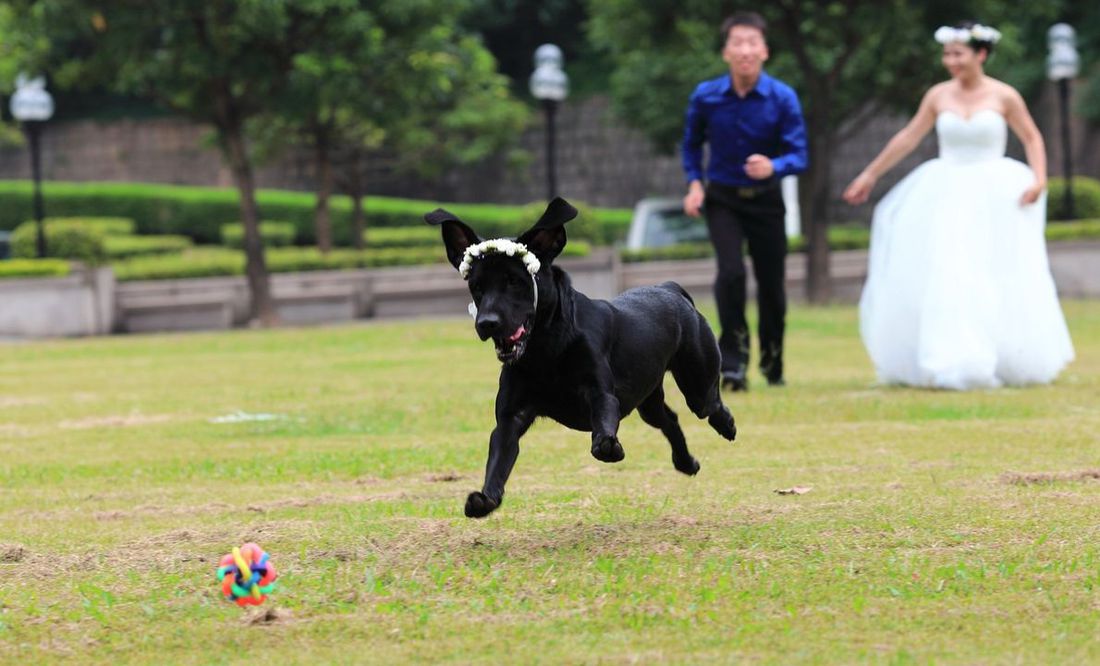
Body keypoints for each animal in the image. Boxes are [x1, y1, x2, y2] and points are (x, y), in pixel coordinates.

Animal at [424, 194, 734, 517]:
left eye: (514, 281)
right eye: (476, 286)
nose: (487, 323)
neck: (546, 351)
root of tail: (669, 287)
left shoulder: (600, 393)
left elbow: (603, 423)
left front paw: (608, 446)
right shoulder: (511, 417)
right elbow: (498, 459)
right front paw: (485, 499)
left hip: (697, 379)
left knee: (709, 404)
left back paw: (726, 424)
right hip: (647, 399)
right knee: (669, 419)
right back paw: (686, 463)